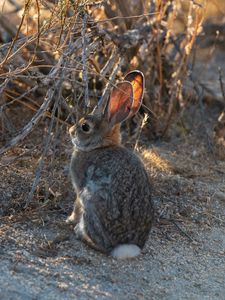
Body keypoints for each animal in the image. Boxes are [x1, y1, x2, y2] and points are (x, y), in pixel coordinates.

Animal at [67, 70, 154, 258]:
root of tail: (125, 246)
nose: (70, 131)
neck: (100, 146)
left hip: (91, 199)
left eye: (85, 127)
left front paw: (69, 220)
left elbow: (76, 205)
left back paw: (79, 232)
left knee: (102, 246)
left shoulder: (79, 187)